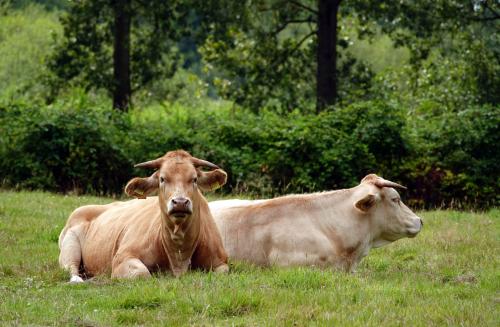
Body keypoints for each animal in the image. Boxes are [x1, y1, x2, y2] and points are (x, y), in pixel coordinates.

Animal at [58, 150, 229, 284]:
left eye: (194, 179)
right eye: (162, 179)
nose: (180, 202)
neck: (179, 253)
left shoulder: (221, 263)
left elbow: (222, 272)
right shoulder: (123, 258)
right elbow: (143, 273)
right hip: (69, 248)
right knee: (72, 269)